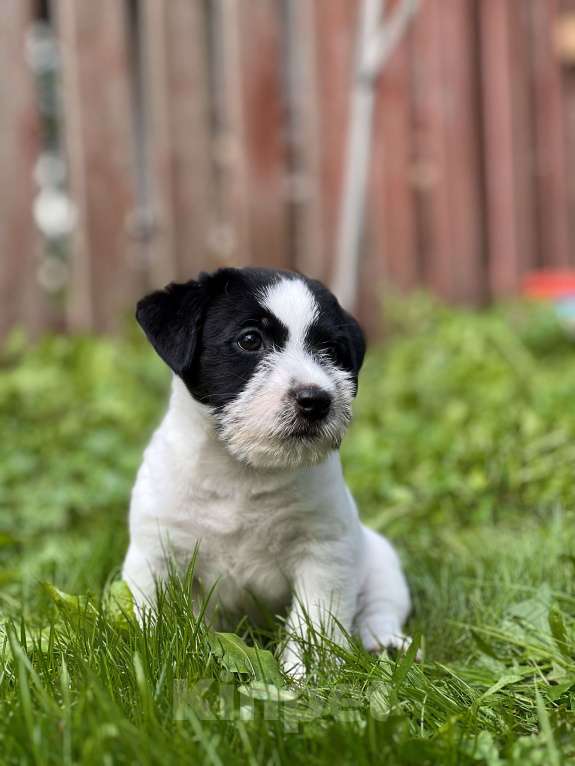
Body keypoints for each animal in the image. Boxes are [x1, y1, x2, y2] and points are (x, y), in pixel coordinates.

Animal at [122, 268, 414, 676]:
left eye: (332, 349)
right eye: (250, 340)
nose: (316, 400)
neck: (242, 471)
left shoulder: (323, 555)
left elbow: (313, 625)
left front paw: (304, 678)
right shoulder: (154, 554)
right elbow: (153, 617)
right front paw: (156, 661)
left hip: (381, 561)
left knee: (380, 608)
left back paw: (383, 642)